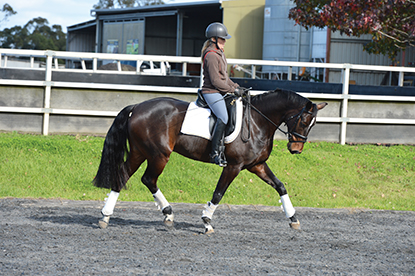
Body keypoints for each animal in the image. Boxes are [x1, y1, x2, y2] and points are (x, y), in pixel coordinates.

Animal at [93, 88, 328, 233]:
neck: (257, 121)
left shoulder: (256, 165)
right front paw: (206, 222)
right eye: (304, 120)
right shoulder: (234, 166)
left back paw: (107, 216)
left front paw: (293, 219)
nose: (296, 149)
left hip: (140, 152)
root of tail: (137, 107)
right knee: (148, 179)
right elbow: (218, 193)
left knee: (124, 176)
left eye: (313, 124)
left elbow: (280, 186)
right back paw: (165, 213)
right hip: (158, 155)